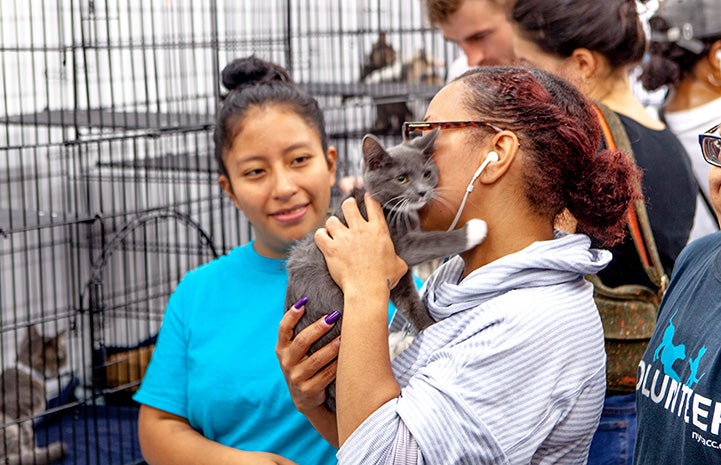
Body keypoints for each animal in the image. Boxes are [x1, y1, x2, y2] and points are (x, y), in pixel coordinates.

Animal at [284, 127, 486, 410]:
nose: (422, 192)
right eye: (401, 178)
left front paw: (428, 326)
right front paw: (475, 230)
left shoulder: (398, 275)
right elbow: (434, 241)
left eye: (427, 173)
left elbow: (410, 301)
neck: (393, 210)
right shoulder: (396, 245)